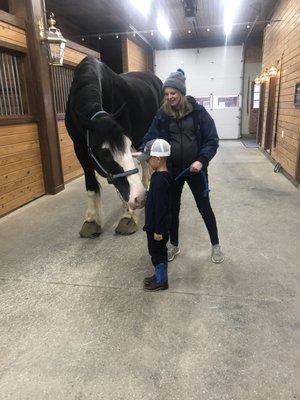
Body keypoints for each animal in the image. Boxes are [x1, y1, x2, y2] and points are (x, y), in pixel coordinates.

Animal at [65, 56, 163, 238]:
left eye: (126, 144)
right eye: (104, 153)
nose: (140, 198)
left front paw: (128, 217)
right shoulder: (80, 148)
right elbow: (90, 185)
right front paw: (91, 220)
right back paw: (145, 183)